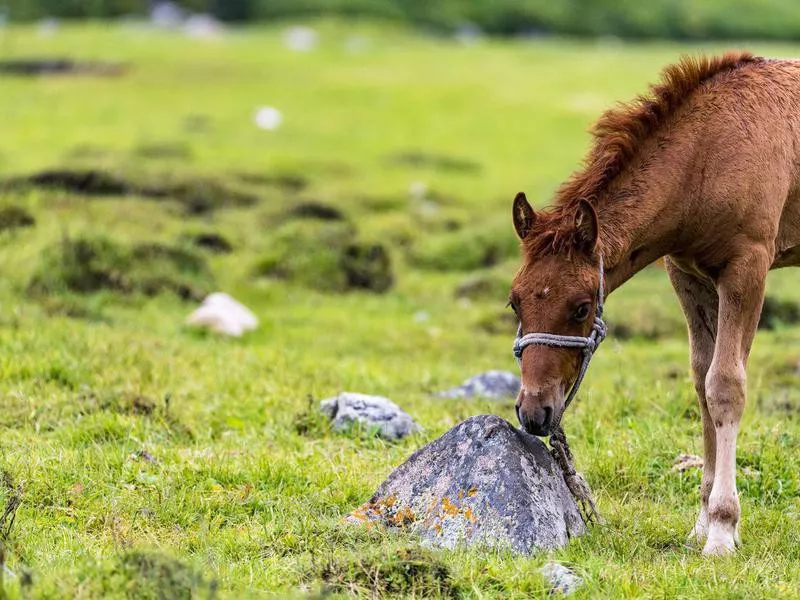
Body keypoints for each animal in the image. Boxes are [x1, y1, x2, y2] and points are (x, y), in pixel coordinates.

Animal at [510, 54, 800, 556]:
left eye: (582, 307)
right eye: (514, 302)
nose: (534, 412)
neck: (707, 154)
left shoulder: (748, 265)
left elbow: (726, 385)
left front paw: (722, 530)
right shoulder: (688, 273)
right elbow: (702, 382)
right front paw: (702, 523)